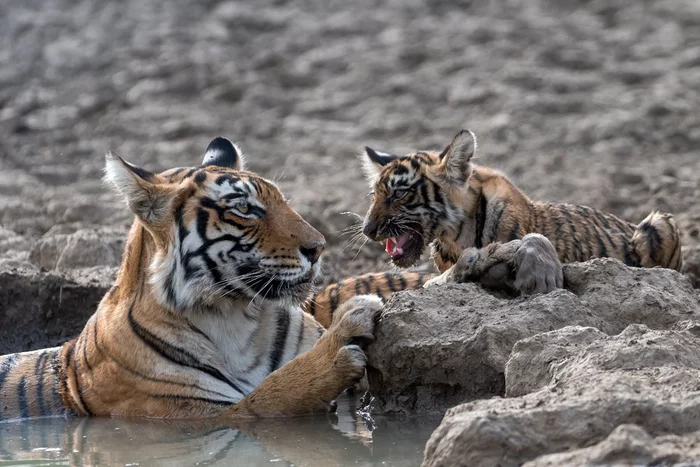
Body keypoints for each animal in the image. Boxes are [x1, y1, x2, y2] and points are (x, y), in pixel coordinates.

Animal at [0, 137, 430, 422]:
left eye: (283, 200)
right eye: (245, 209)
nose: (319, 247)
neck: (232, 316)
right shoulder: (205, 416)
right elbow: (268, 394)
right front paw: (343, 337)